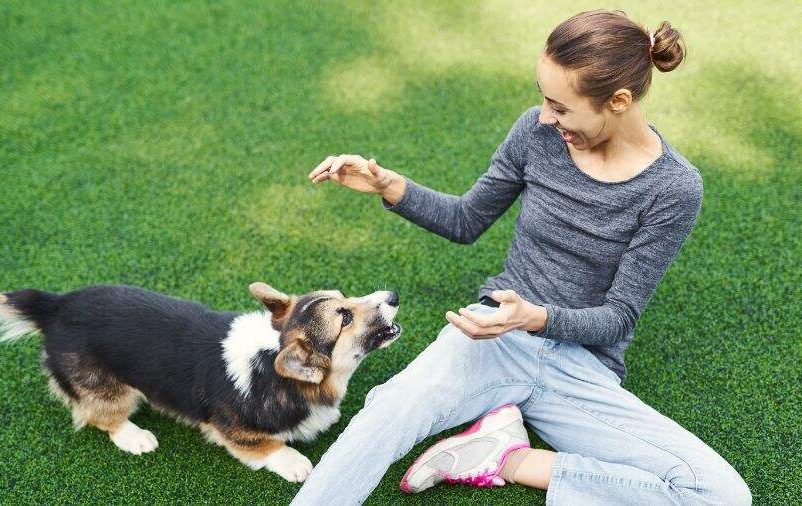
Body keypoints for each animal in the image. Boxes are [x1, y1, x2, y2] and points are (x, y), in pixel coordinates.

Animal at [0, 282, 400, 480]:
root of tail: (55, 306)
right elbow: (268, 446)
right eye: (344, 317)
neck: (272, 363)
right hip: (108, 388)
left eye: (346, 297)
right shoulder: (232, 430)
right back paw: (134, 437)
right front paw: (295, 463)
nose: (393, 296)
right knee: (102, 416)